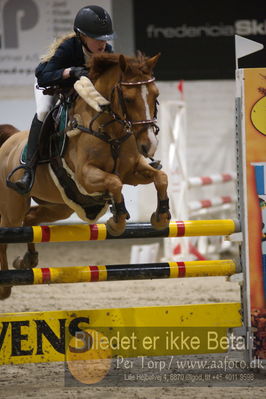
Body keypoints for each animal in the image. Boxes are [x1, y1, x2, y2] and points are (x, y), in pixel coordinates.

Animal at [0, 51, 170, 298]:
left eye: (155, 95)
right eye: (128, 99)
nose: (150, 145)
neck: (109, 128)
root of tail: (11, 138)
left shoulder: (133, 172)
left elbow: (161, 178)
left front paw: (161, 216)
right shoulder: (86, 176)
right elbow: (114, 182)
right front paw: (117, 221)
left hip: (59, 205)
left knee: (31, 219)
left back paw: (27, 260)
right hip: (13, 208)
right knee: (8, 233)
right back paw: (5, 287)